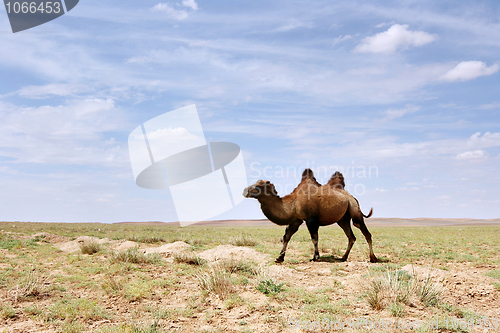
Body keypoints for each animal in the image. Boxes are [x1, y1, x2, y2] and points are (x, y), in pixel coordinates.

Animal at [241, 169, 376, 262]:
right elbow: (286, 236)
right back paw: (343, 257)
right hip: (343, 219)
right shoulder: (296, 219)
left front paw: (315, 257)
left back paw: (373, 258)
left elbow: (314, 238)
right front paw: (280, 258)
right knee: (351, 236)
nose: (244, 190)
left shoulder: (311, 219)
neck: (293, 201)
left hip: (354, 209)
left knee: (364, 231)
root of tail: (352, 196)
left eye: (258, 186)